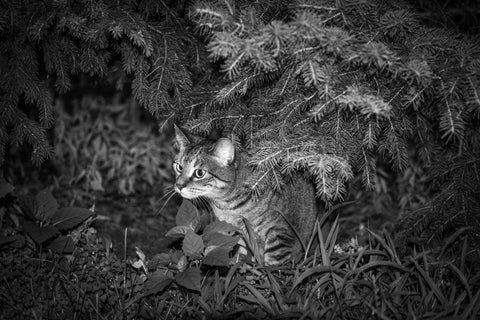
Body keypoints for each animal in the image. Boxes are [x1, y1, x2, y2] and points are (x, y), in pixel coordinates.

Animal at [172, 126, 318, 266]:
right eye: (179, 167)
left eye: (199, 173)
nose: (179, 185)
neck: (228, 206)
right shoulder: (238, 233)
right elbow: (241, 256)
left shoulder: (279, 231)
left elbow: (274, 265)